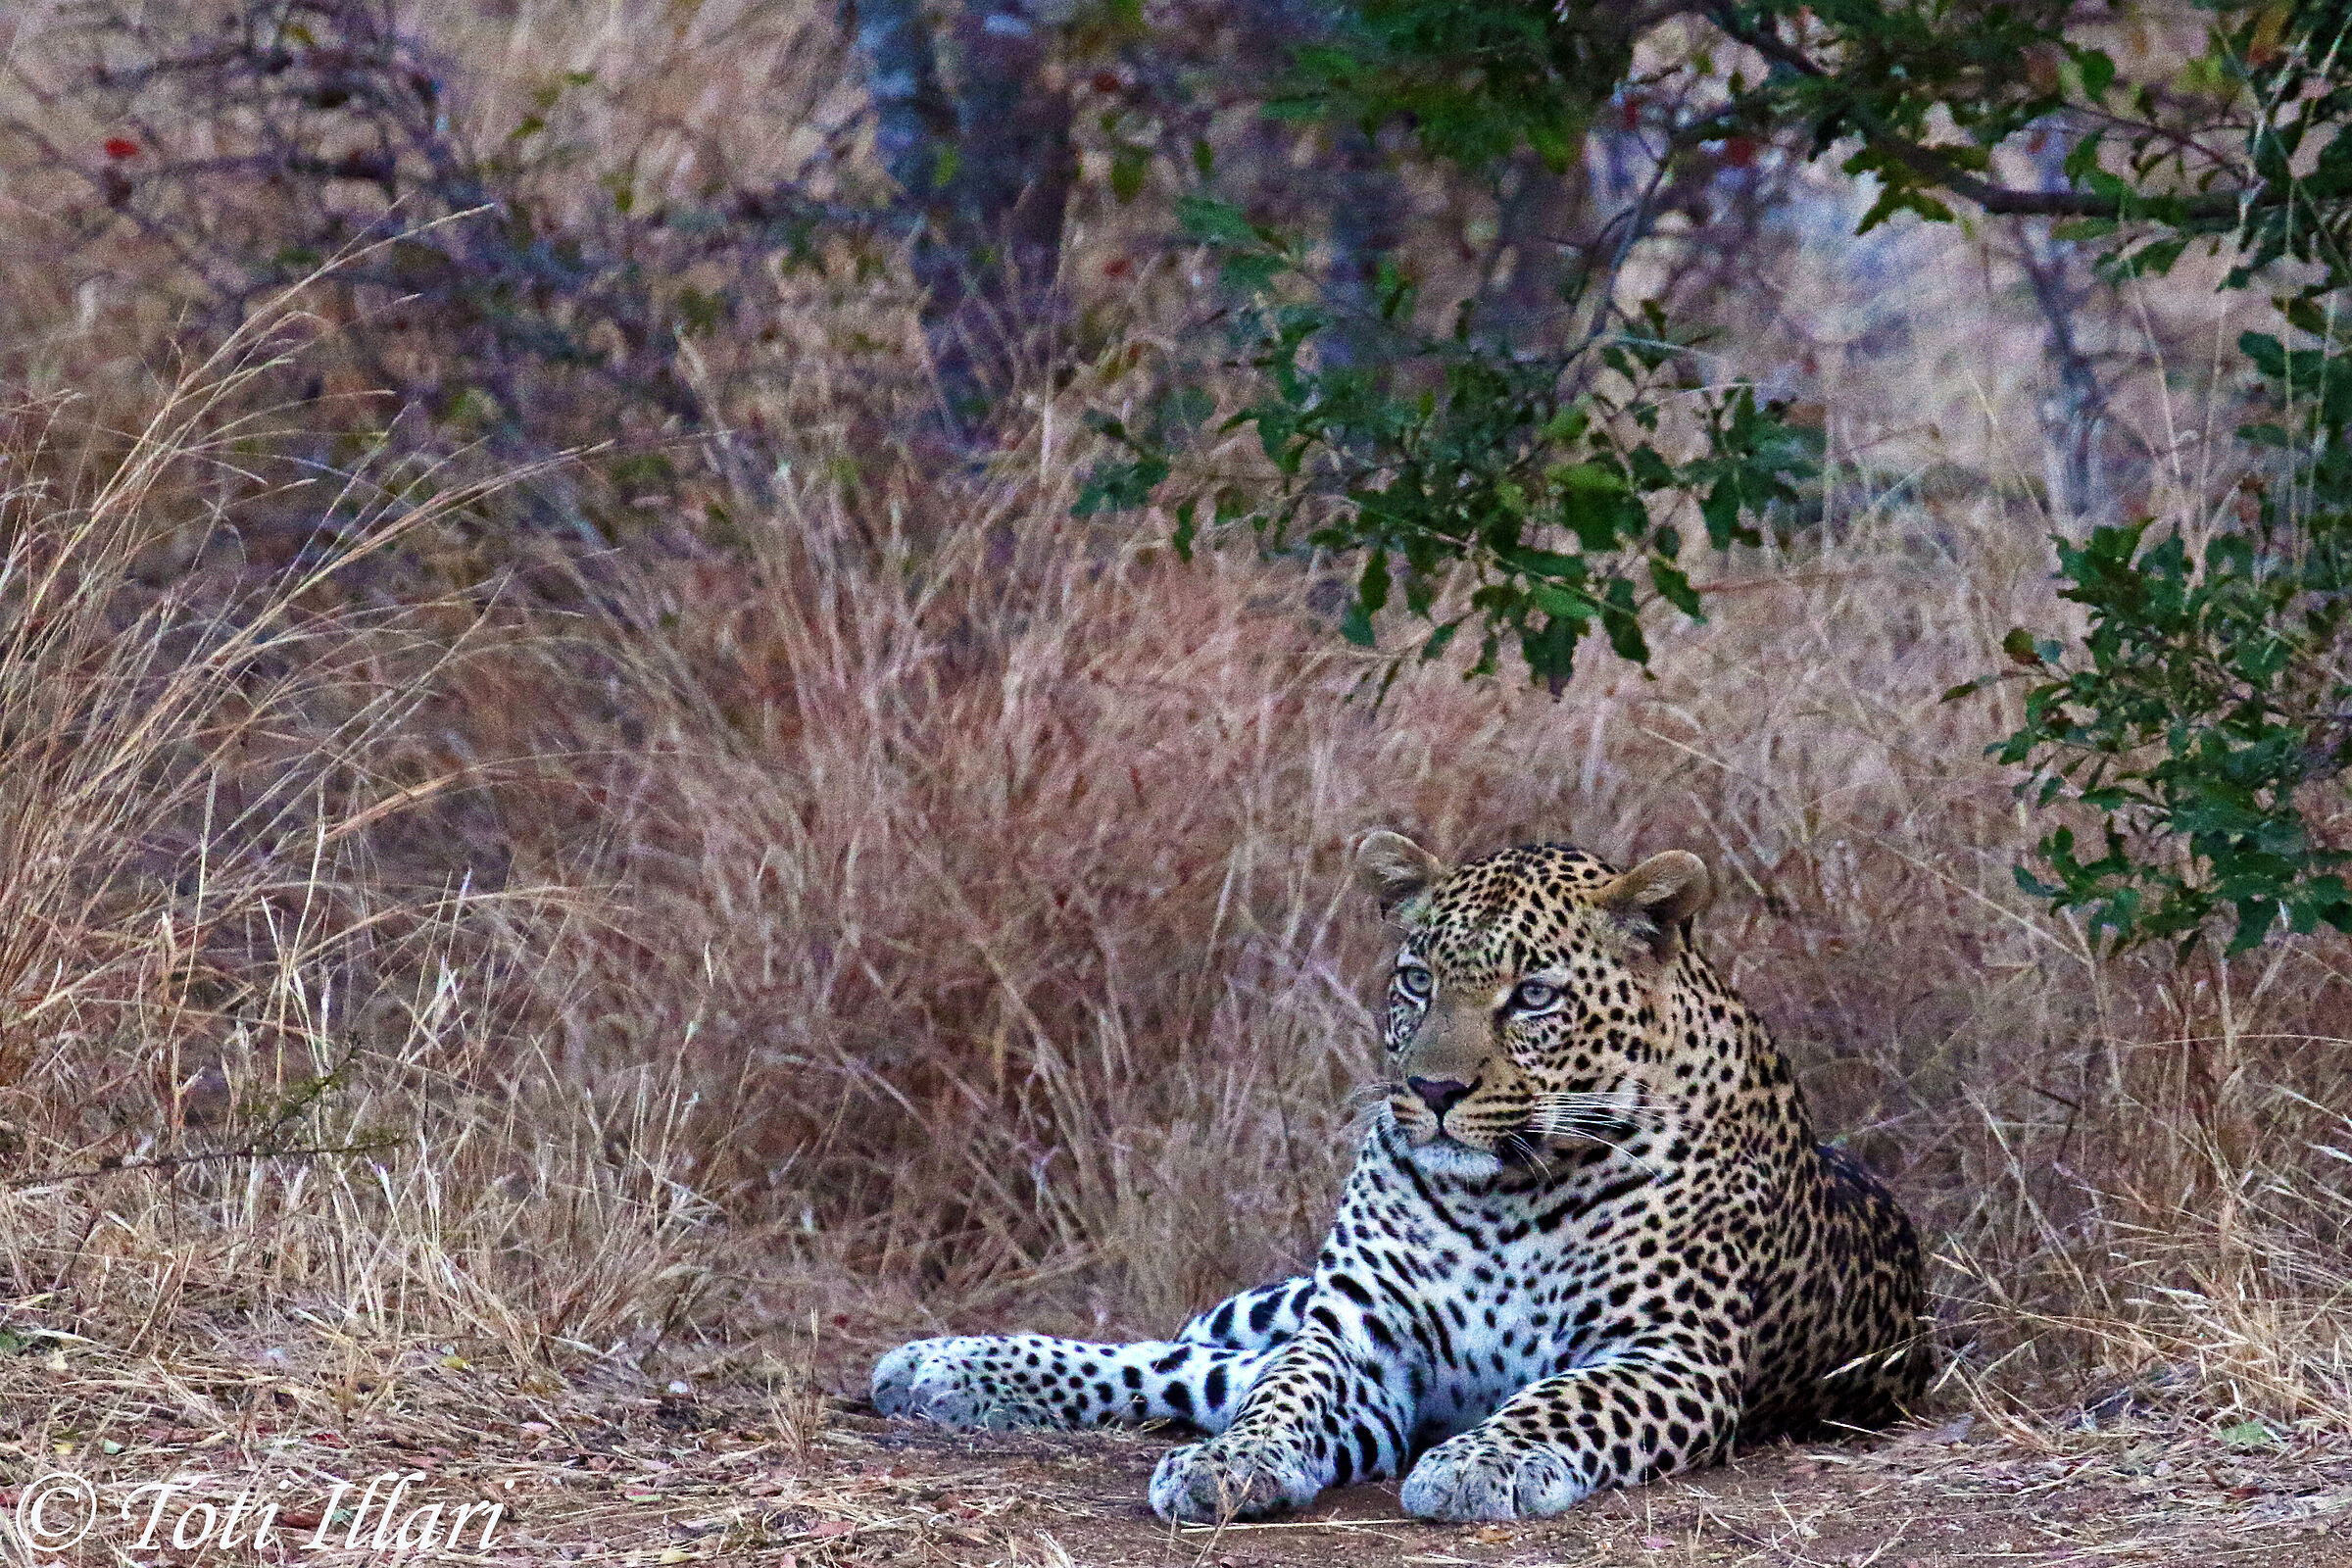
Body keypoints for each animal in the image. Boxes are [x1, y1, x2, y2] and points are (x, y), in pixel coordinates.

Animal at [872, 830, 1929, 1523]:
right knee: (1189, 1359)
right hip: (1282, 1303)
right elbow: (1282, 1395)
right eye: (1418, 980)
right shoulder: (1359, 1336)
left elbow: (1564, 1398)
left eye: (1532, 996)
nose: (1433, 1088)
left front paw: (1483, 1462)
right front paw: (1233, 1463)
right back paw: (941, 1365)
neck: (1505, 1196)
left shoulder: (1669, 1354)